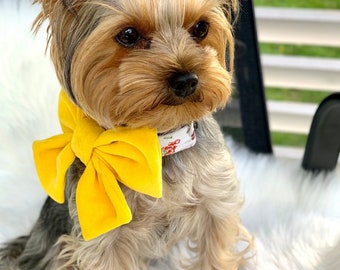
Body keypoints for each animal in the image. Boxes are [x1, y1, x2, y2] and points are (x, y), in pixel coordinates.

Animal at [0, 0, 252, 268]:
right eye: (129, 35)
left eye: (201, 28)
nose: (186, 81)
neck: (156, 144)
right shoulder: (104, 236)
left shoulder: (216, 203)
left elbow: (216, 252)